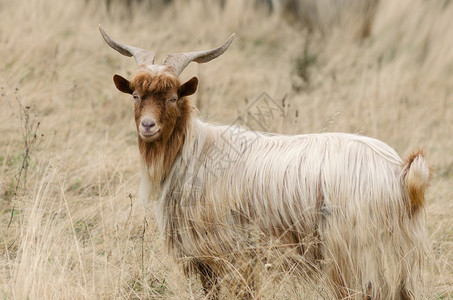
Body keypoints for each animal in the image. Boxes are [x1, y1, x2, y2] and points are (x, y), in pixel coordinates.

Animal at [99, 25, 428, 300]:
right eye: (135, 95)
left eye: (172, 98)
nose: (148, 126)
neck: (194, 151)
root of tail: (400, 171)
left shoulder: (228, 255)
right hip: (395, 259)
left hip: (356, 256)